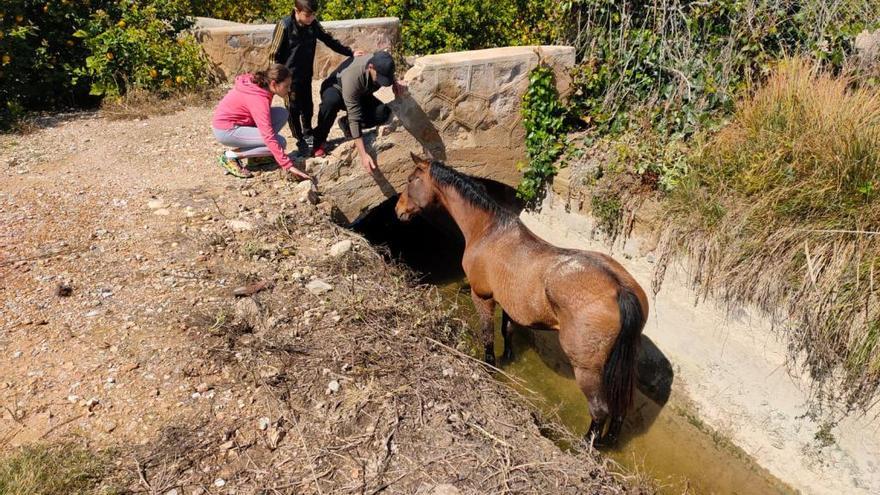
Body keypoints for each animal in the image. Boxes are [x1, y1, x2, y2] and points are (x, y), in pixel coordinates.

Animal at [396, 155, 648, 446]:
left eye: (411, 179)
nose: (397, 209)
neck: (488, 231)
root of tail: (619, 289)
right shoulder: (508, 302)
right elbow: (507, 330)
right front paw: (508, 356)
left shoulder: (482, 297)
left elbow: (487, 334)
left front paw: (490, 367)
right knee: (620, 407)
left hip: (587, 368)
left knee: (600, 410)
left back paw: (586, 445)